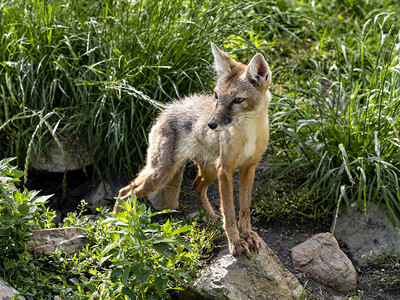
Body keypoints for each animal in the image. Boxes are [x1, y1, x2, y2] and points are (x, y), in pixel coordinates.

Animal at [112, 43, 272, 255]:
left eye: (238, 100)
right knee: (124, 192)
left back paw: (211, 217)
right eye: (216, 96)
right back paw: (113, 228)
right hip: (161, 174)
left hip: (207, 171)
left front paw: (246, 235)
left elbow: (244, 209)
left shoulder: (249, 168)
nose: (211, 125)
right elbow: (229, 211)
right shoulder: (225, 171)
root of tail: (165, 111)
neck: (249, 133)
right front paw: (235, 242)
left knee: (196, 186)